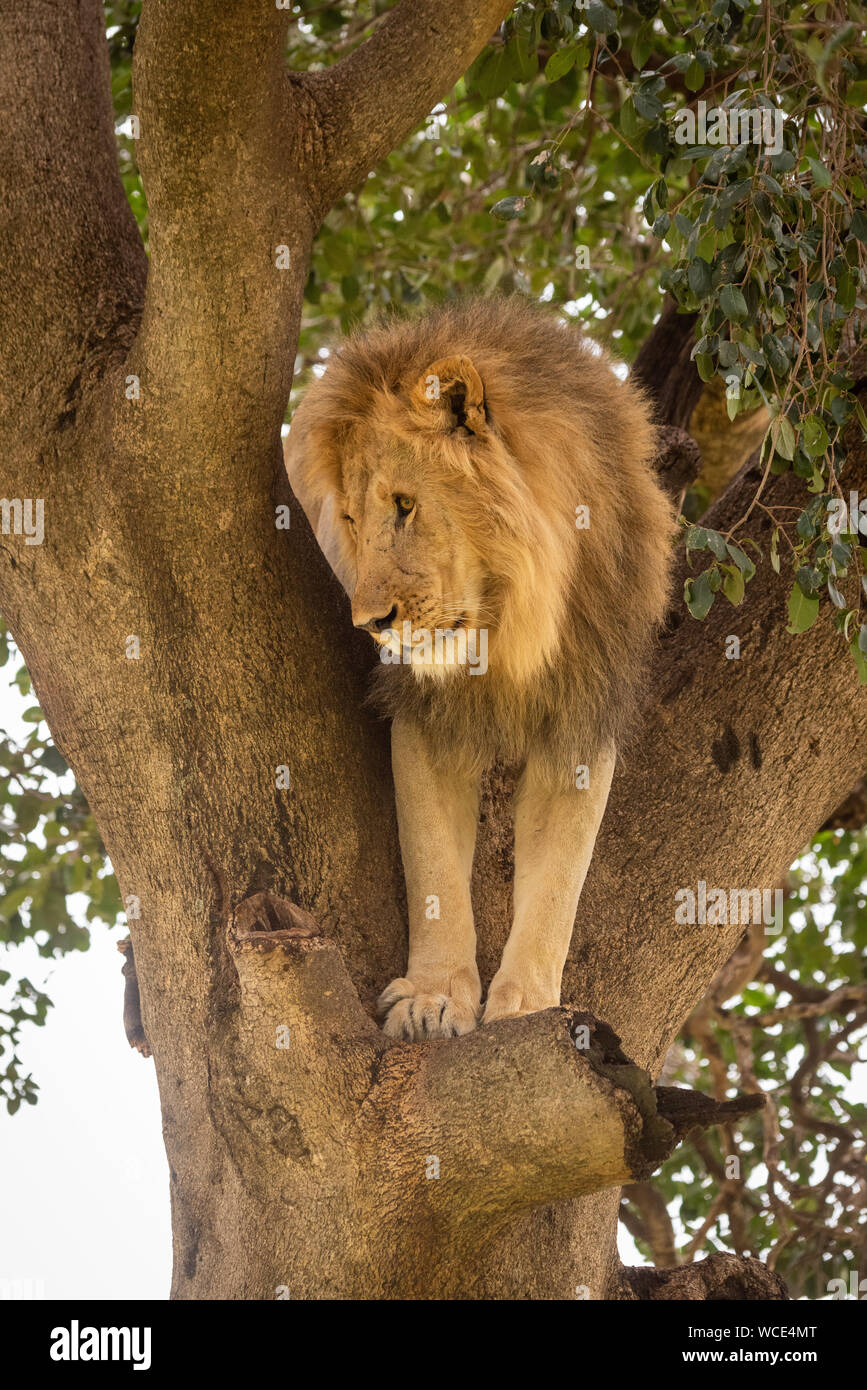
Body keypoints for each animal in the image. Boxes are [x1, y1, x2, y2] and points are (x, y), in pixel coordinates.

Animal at [284, 296, 674, 1039]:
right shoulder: (425, 713)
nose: (370, 621)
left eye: (405, 505)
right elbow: (433, 867)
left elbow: (557, 884)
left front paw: (529, 1008)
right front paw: (433, 998)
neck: (507, 628)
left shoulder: (582, 715)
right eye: (349, 519)